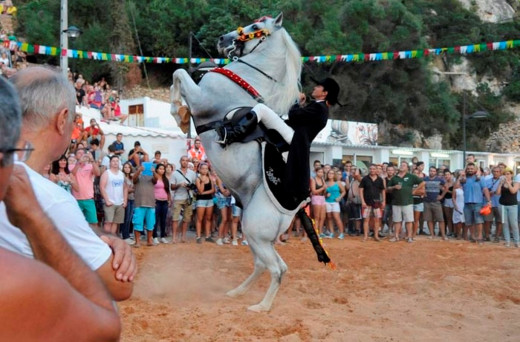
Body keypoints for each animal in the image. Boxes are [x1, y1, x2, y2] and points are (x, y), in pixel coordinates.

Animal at [171, 13, 306, 312]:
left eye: (257, 26)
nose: (223, 39)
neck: (245, 79)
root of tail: (291, 211)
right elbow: (179, 75)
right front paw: (181, 116)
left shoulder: (202, 99)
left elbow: (180, 74)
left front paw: (179, 113)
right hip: (253, 233)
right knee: (268, 266)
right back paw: (237, 293)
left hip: (255, 232)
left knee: (276, 270)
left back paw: (261, 307)